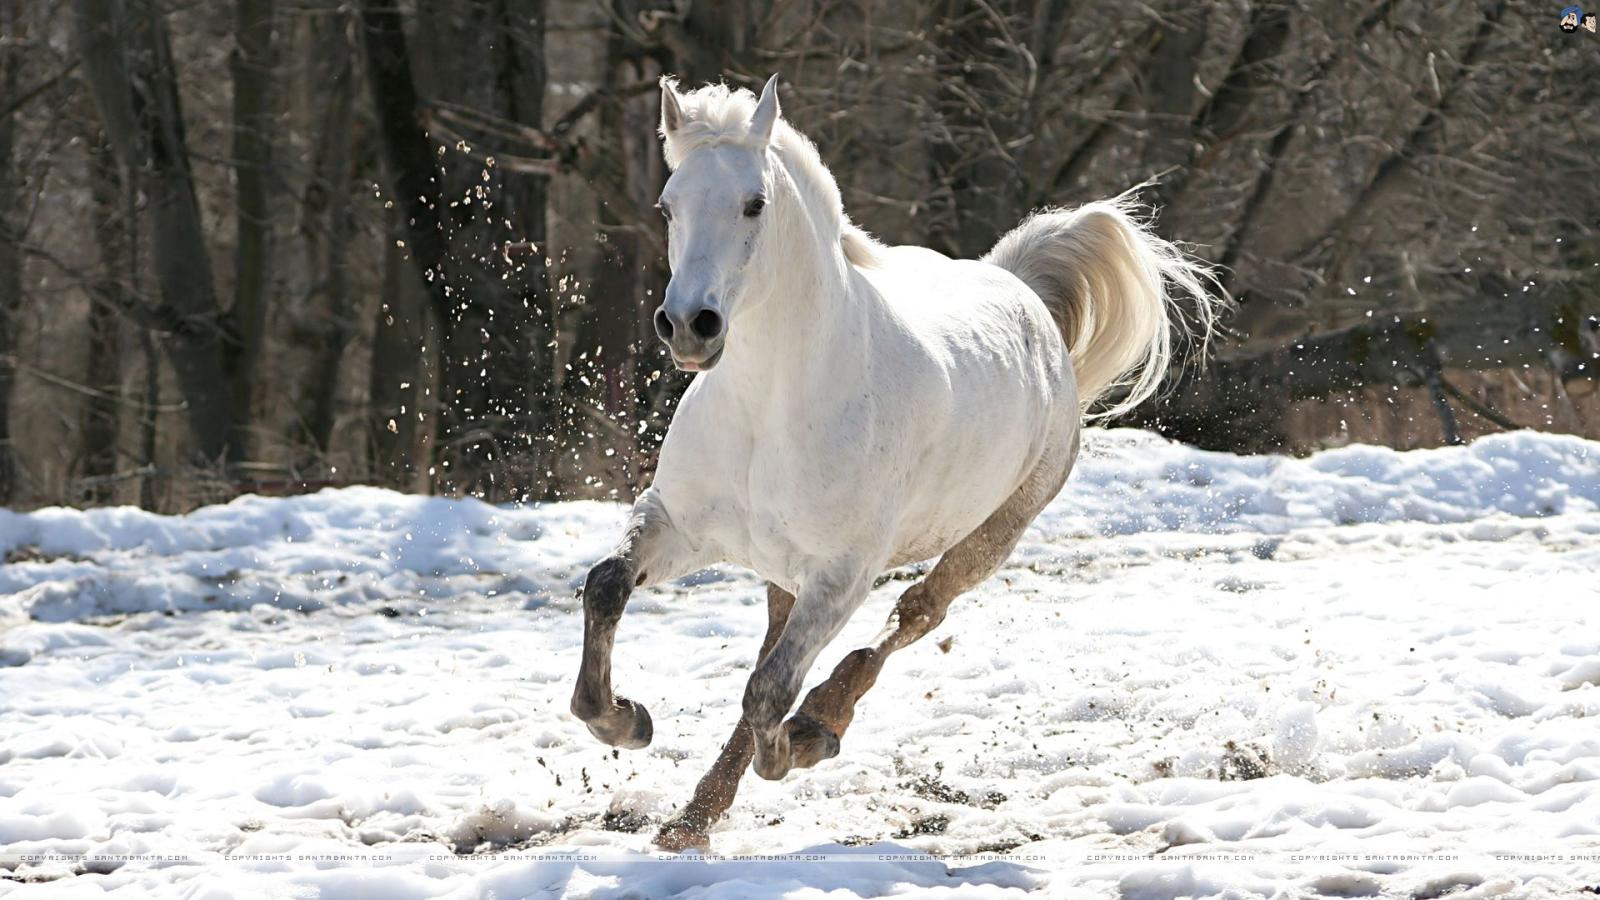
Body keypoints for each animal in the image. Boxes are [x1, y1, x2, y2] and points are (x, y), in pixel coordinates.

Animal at [569, 74, 1226, 851]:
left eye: (754, 203)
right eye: (668, 205)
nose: (688, 326)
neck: (769, 408)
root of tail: (1021, 292)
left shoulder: (842, 574)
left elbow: (769, 693)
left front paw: (804, 743)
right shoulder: (679, 526)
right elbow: (608, 585)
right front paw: (625, 720)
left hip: (993, 533)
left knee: (915, 614)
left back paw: (821, 720)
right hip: (783, 569)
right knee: (781, 645)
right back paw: (691, 820)